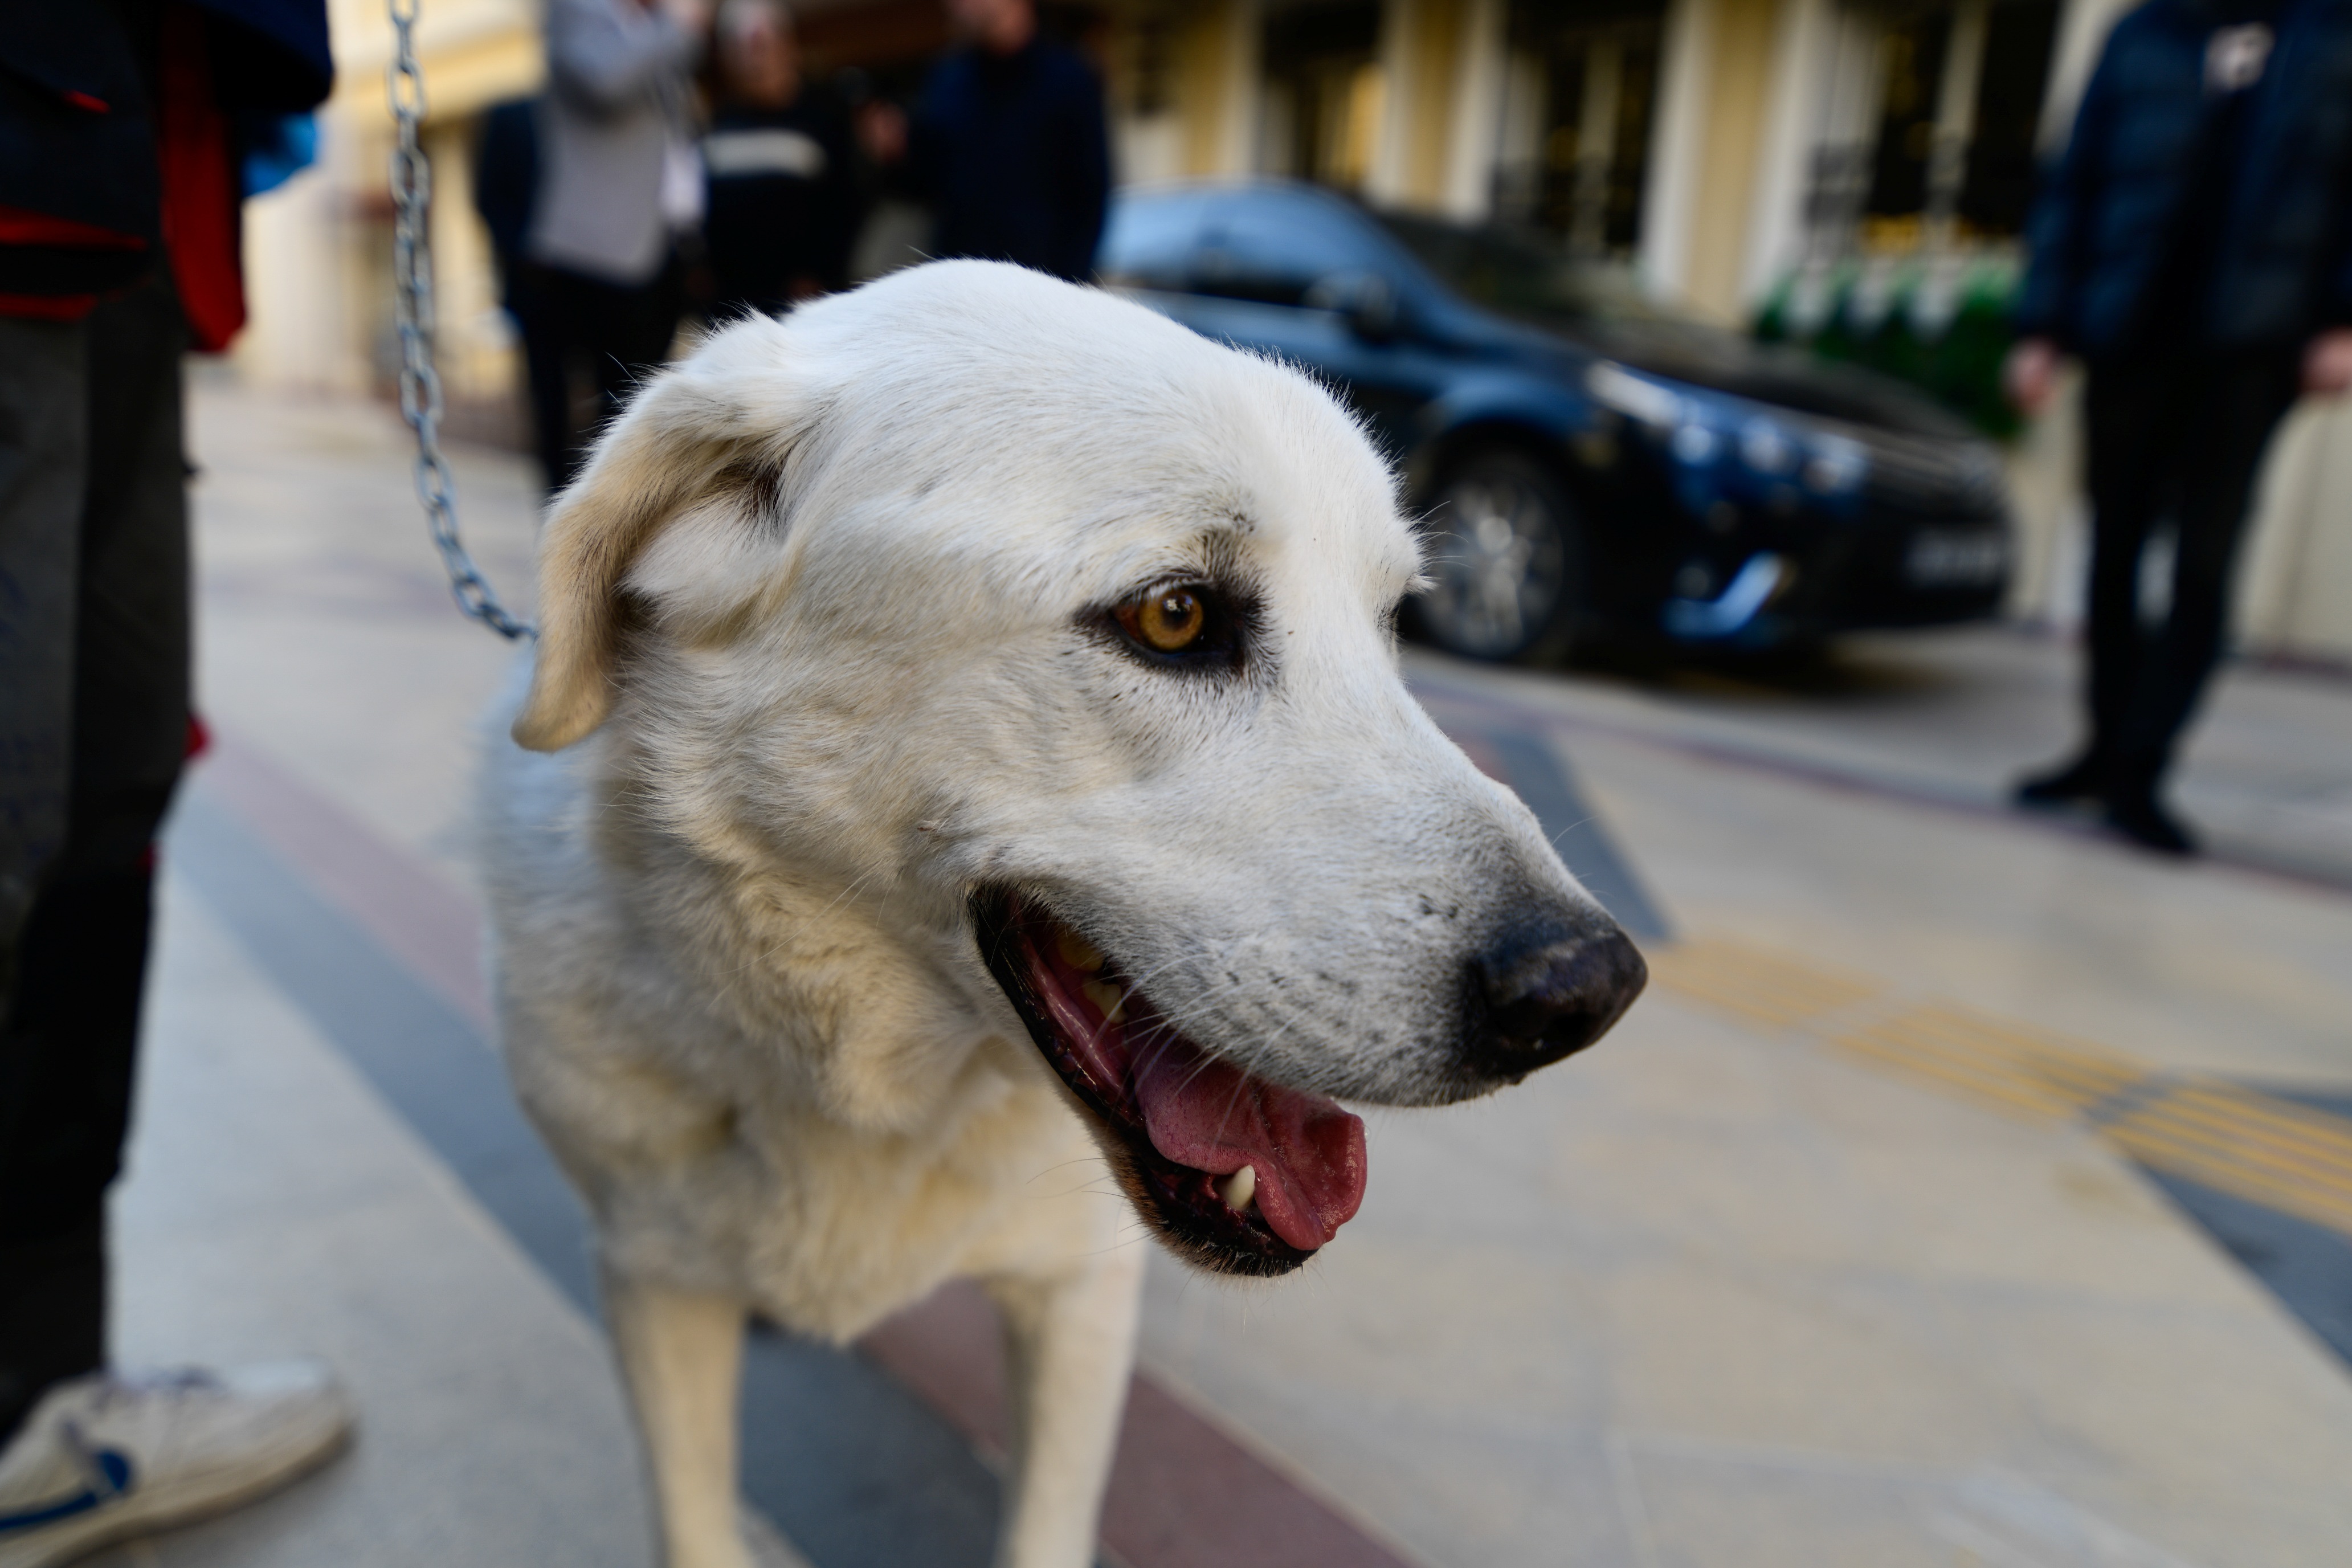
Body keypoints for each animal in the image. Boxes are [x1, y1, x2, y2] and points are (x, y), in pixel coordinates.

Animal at [484, 260, 1646, 1568]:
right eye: (1174, 616)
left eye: (1393, 621)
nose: (1587, 987)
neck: (872, 1094)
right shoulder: (651, 1282)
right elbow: (692, 1521)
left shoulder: (1080, 1293)